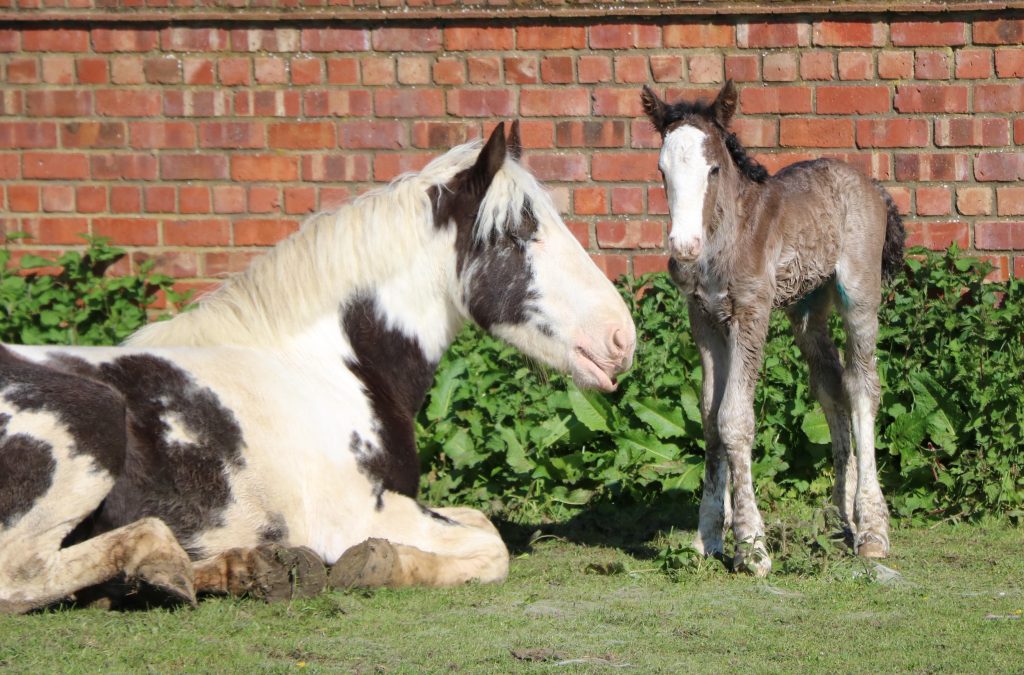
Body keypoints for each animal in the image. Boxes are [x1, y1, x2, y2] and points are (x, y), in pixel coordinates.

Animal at [0, 122, 637, 613]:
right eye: (519, 233)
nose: (621, 337)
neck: (326, 366)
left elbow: (481, 522)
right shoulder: (361, 515)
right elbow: (491, 549)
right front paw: (375, 565)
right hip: (91, 417)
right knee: (23, 577)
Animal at [641, 82, 904, 576]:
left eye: (713, 168)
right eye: (662, 169)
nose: (682, 246)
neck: (725, 237)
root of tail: (871, 184)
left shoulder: (751, 313)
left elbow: (733, 419)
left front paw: (752, 546)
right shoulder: (705, 320)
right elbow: (709, 417)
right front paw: (708, 536)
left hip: (860, 292)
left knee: (863, 386)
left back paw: (872, 530)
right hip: (807, 309)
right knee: (831, 386)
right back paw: (842, 519)